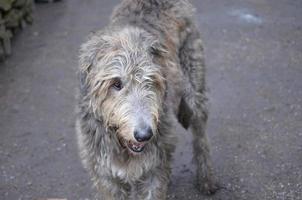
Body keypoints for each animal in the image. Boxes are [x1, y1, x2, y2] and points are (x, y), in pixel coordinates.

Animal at [75, 0, 217, 198]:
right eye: (116, 84)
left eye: (150, 82)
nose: (144, 135)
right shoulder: (105, 175)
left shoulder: (154, 167)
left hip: (193, 82)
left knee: (200, 135)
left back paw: (206, 178)